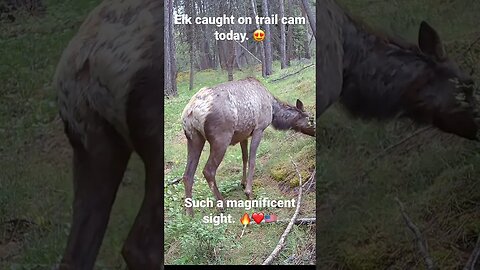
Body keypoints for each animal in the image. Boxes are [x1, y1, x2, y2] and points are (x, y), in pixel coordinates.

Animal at [180, 77, 316, 216]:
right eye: (311, 119)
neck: (273, 111)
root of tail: (191, 112)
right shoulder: (259, 128)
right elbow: (252, 160)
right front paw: (249, 192)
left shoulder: (243, 134)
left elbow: (244, 158)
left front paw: (243, 183)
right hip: (221, 138)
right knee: (208, 170)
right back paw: (222, 204)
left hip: (193, 138)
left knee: (187, 175)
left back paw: (189, 212)